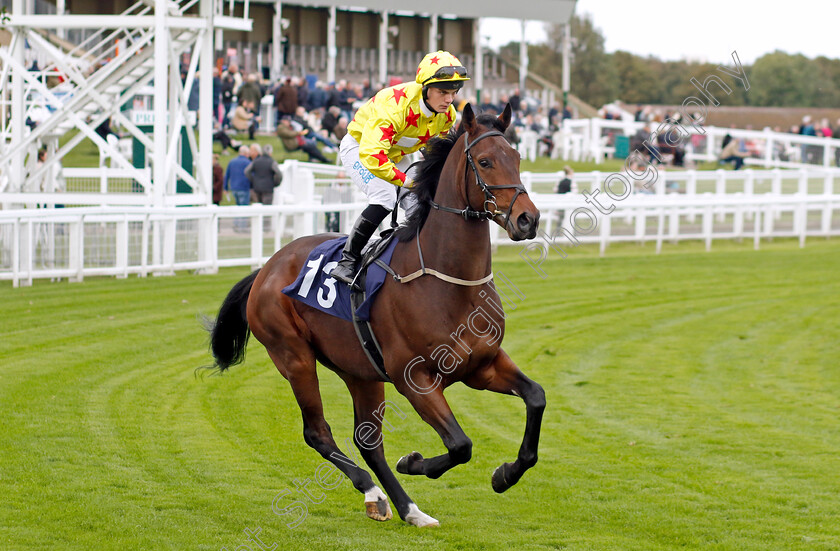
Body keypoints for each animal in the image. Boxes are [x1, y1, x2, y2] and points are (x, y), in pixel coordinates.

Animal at [206, 103, 540, 528]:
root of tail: (266, 269)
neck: (449, 283)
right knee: (318, 432)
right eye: (484, 161)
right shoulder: (415, 380)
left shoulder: (483, 365)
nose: (528, 219)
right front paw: (413, 461)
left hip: (359, 371)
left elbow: (535, 397)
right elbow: (460, 444)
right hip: (294, 357)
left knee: (367, 442)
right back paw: (374, 492)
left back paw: (408, 509)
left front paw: (505, 474)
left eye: (517, 158)